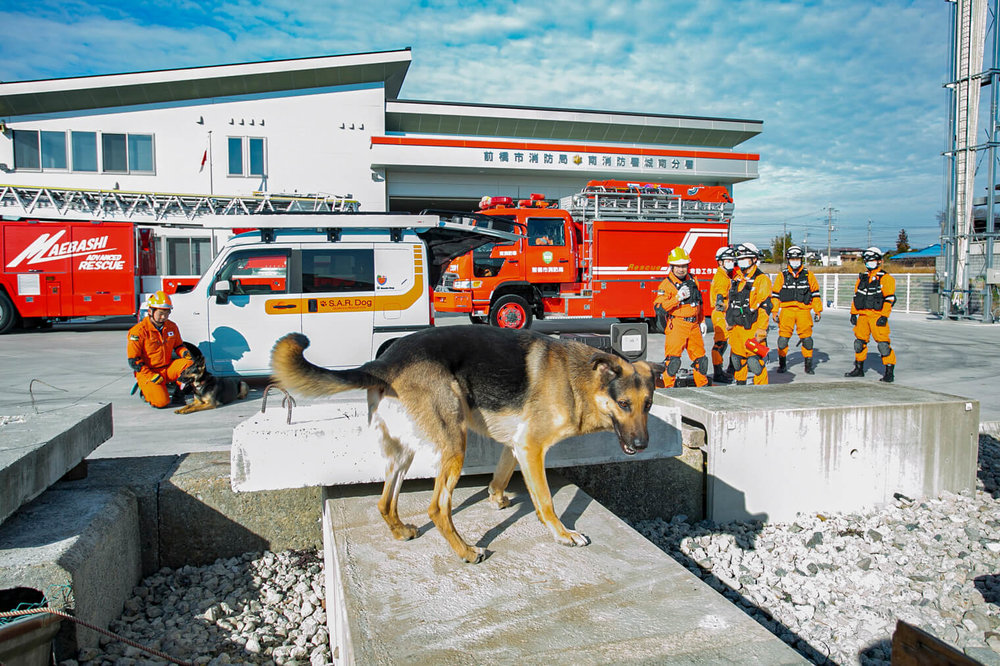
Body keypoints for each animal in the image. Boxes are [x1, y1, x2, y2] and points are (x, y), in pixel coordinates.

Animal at [274, 324, 664, 564]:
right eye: (624, 404)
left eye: (647, 405)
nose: (643, 443)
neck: (578, 381)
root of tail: (383, 362)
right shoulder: (532, 448)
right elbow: (546, 502)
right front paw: (563, 534)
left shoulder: (516, 446)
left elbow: (501, 475)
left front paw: (497, 497)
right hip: (453, 444)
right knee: (437, 508)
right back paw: (465, 552)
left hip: (404, 453)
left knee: (385, 501)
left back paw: (401, 531)